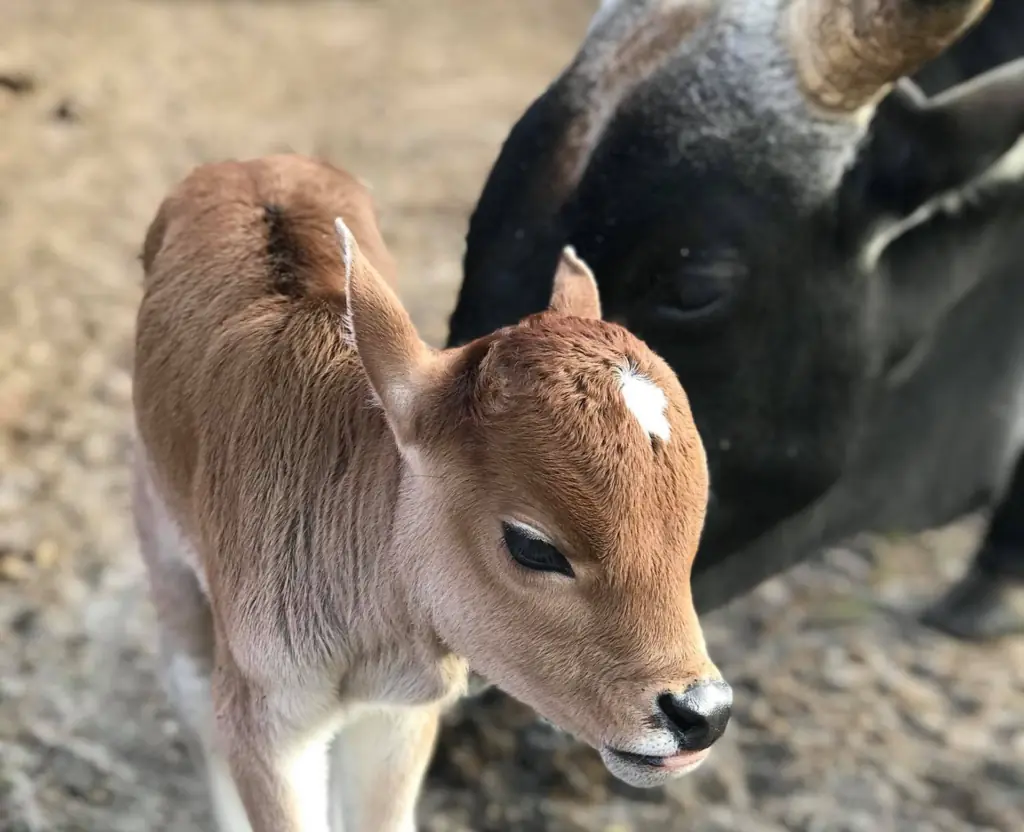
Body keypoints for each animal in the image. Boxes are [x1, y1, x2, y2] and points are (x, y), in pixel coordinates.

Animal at [132, 152, 729, 827]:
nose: (702, 713)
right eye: (533, 545)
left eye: (694, 525)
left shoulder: (402, 712)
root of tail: (252, 162)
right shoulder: (264, 716)